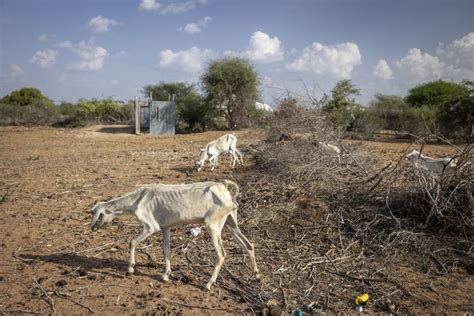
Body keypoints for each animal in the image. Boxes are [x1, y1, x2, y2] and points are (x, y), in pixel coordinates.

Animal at [89, 180, 260, 288]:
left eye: (96, 213)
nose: (92, 228)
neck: (138, 199)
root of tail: (223, 187)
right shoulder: (165, 227)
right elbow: (167, 251)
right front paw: (166, 275)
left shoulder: (151, 226)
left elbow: (132, 242)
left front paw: (130, 269)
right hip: (230, 221)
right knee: (248, 244)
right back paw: (256, 275)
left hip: (213, 224)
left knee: (222, 254)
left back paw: (208, 284)